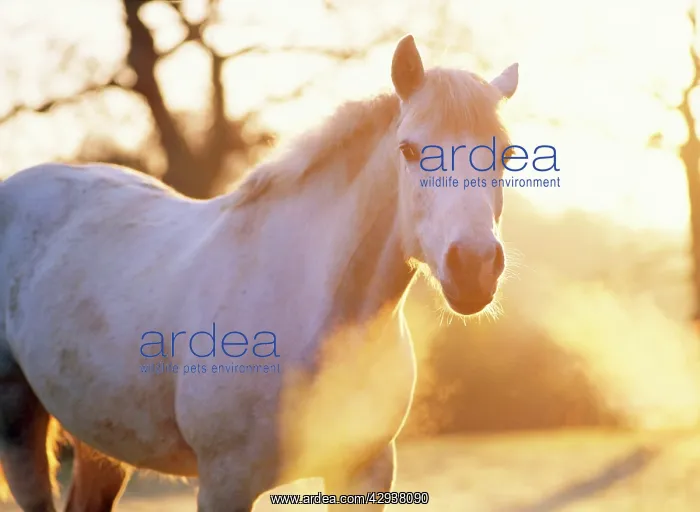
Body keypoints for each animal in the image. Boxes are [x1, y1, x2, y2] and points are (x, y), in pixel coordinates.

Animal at [0, 34, 518, 511]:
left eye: (507, 155)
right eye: (409, 150)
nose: (473, 265)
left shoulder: (363, 471)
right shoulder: (225, 483)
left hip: (102, 441)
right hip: (18, 427)